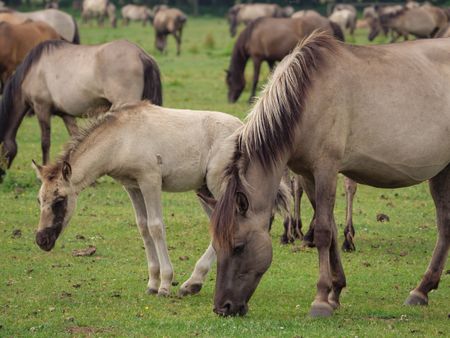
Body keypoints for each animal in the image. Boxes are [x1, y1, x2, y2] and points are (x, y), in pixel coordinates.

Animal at [209, 31, 450, 316]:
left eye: (238, 246)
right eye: (216, 245)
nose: (223, 307)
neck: (306, 97)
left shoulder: (326, 169)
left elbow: (323, 231)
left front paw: (321, 299)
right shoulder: (308, 176)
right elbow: (332, 230)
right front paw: (336, 292)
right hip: (442, 171)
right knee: (445, 224)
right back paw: (421, 290)